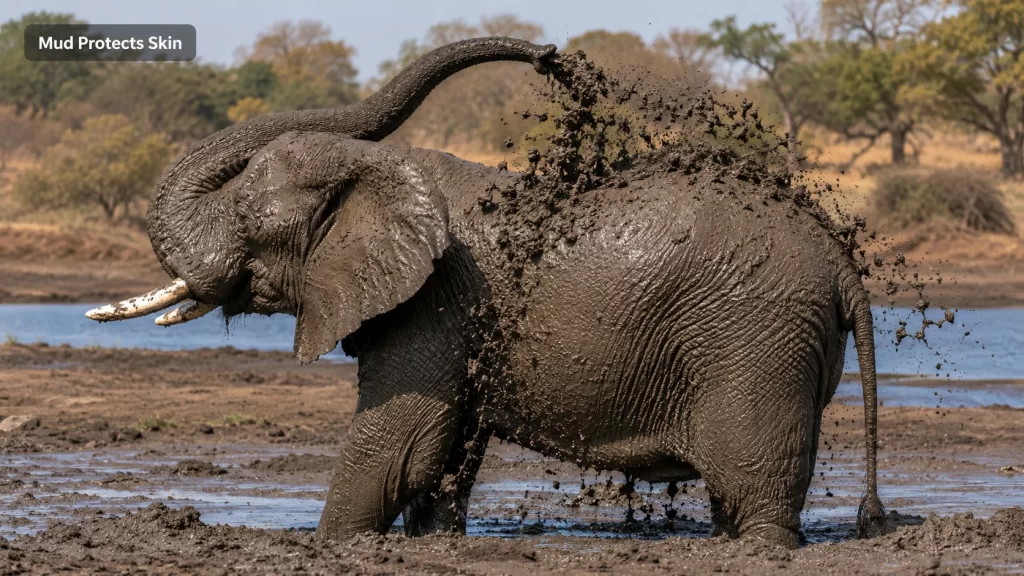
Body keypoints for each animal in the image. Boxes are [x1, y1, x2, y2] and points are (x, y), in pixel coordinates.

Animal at [86, 37, 886, 549]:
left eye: (251, 216)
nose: (551, 58)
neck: (379, 164)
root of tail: (839, 257)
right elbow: (445, 455)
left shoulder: (434, 302)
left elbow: (400, 444)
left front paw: (328, 545)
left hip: (755, 338)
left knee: (755, 484)